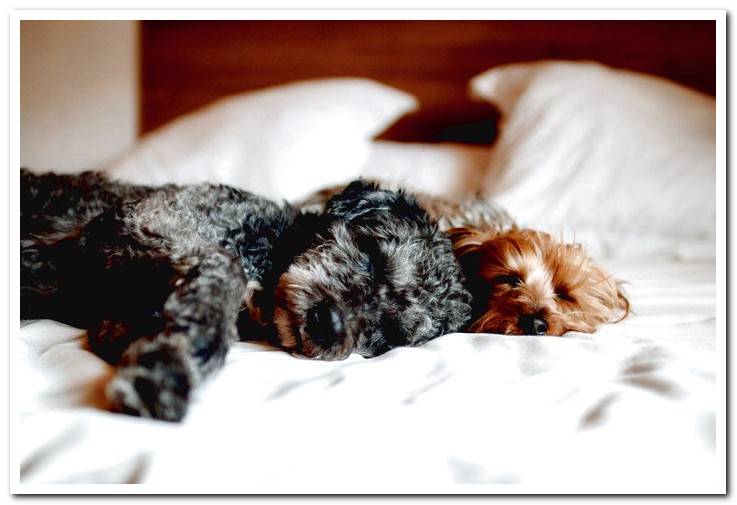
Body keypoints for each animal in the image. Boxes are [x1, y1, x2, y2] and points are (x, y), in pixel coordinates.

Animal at [24, 169, 472, 422]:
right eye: (372, 257)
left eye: (388, 333)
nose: (327, 325)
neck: (269, 245)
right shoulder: (147, 217)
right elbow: (226, 266)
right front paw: (168, 368)